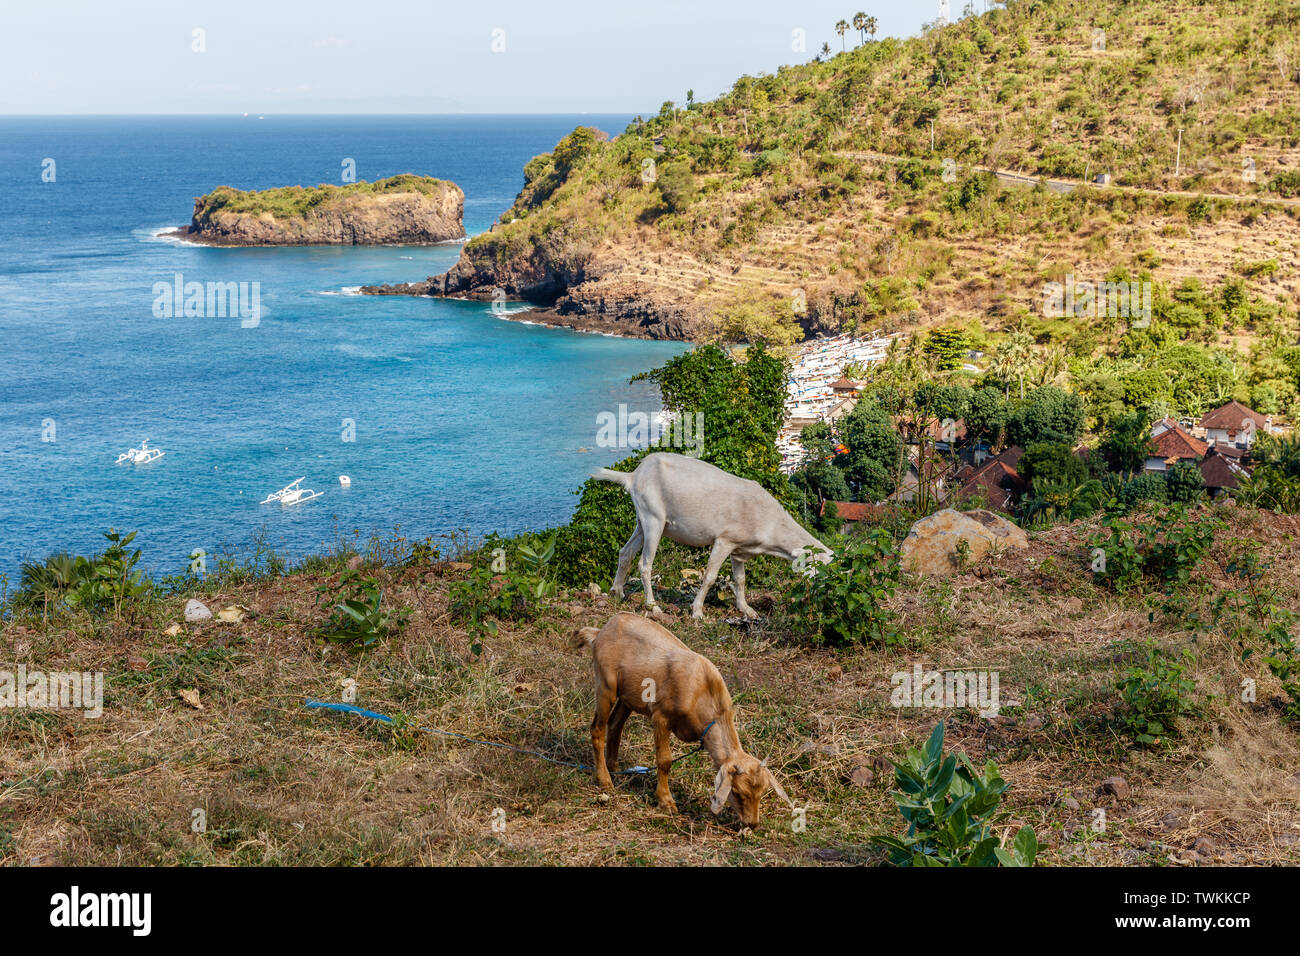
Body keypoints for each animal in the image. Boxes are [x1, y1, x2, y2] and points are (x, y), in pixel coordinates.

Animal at [572, 613, 790, 832]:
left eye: (762, 793)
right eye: (737, 792)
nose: (752, 824)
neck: (702, 691)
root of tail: (601, 631)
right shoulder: (660, 717)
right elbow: (665, 761)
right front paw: (666, 801)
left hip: (628, 697)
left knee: (615, 725)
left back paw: (615, 768)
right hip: (606, 686)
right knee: (597, 729)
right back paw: (604, 779)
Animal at [592, 450, 826, 616]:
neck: (770, 522)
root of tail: (634, 475)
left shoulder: (739, 548)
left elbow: (740, 579)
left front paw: (747, 610)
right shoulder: (724, 540)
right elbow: (710, 577)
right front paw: (697, 611)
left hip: (642, 520)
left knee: (626, 552)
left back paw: (617, 592)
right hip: (653, 517)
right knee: (645, 564)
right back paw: (653, 607)